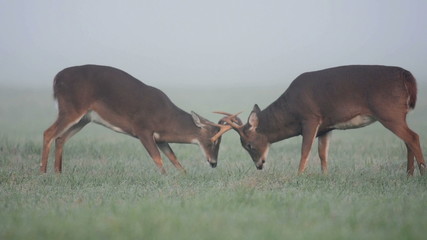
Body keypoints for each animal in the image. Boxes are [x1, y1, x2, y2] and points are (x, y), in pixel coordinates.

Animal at [41, 65, 237, 174]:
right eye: (213, 141)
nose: (213, 163)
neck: (166, 118)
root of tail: (56, 79)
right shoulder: (142, 129)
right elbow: (158, 158)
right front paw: (165, 179)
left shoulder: (160, 138)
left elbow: (174, 158)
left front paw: (184, 176)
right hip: (71, 108)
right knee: (48, 133)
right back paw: (43, 173)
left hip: (84, 119)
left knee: (60, 138)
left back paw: (58, 173)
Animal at [219, 64, 426, 175]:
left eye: (248, 145)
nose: (259, 165)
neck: (291, 109)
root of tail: (407, 77)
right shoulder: (326, 127)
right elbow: (322, 154)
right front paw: (325, 176)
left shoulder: (310, 117)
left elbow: (305, 151)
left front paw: (299, 175)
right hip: (398, 114)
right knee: (408, 140)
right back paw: (409, 174)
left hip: (388, 112)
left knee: (413, 137)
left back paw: (421, 173)